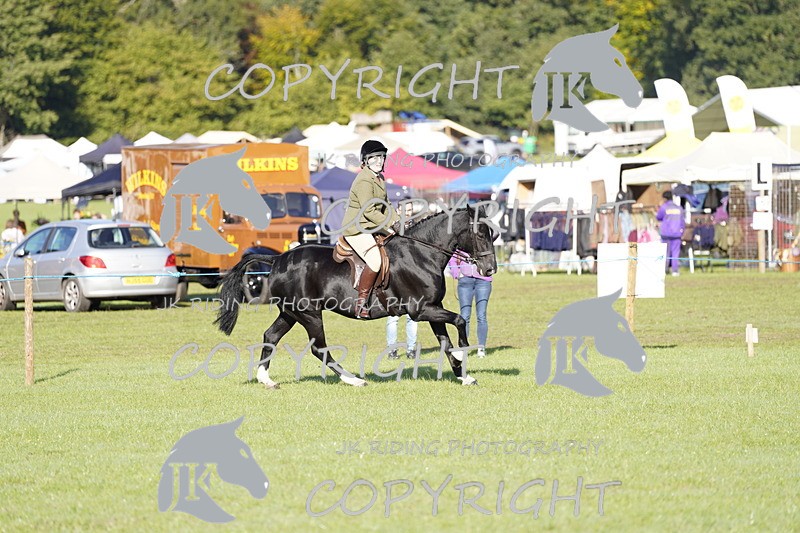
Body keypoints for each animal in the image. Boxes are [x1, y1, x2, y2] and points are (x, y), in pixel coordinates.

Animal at [215, 205, 498, 388]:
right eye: (480, 234)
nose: (490, 269)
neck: (421, 253)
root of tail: (277, 259)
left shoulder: (432, 307)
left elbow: (445, 341)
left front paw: (463, 375)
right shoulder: (420, 310)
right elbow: (460, 320)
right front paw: (464, 353)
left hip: (290, 312)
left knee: (270, 336)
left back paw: (266, 379)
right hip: (309, 313)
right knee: (319, 348)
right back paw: (353, 379)